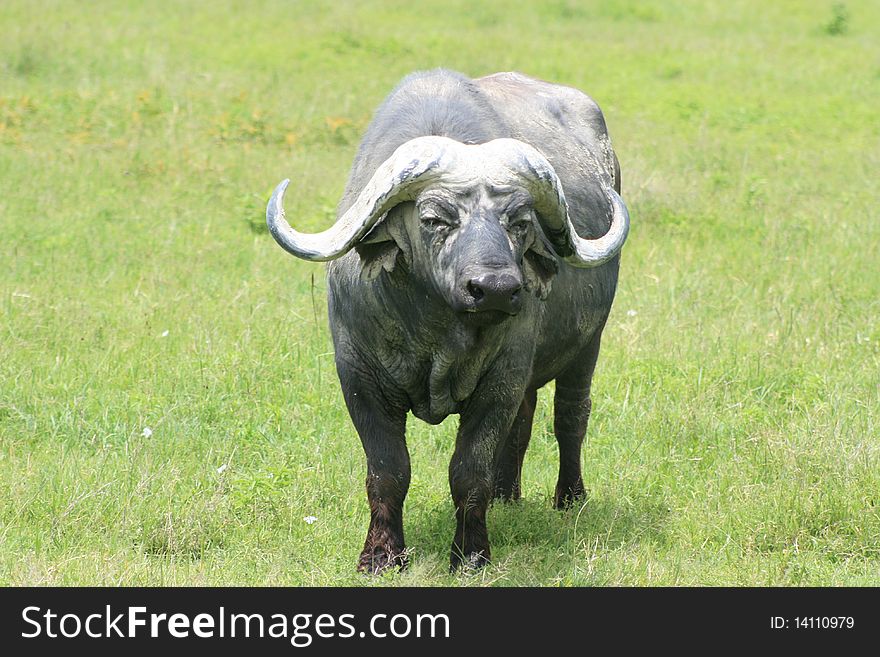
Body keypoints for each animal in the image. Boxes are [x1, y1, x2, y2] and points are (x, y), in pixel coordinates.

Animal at [264, 69, 628, 572]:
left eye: (520, 221)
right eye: (435, 218)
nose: (495, 288)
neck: (437, 334)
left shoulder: (501, 377)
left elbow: (469, 470)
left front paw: (471, 553)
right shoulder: (358, 378)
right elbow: (388, 470)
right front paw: (381, 554)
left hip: (588, 344)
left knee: (570, 416)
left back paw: (569, 497)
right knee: (524, 423)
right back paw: (507, 495)